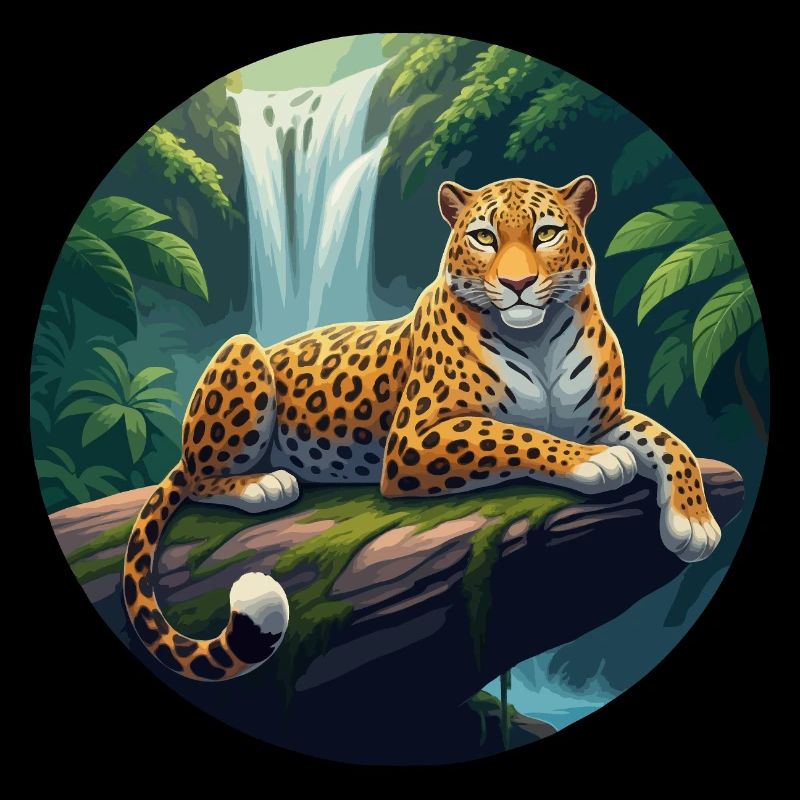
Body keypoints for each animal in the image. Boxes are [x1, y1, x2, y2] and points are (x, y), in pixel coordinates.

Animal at [123, 174, 721, 681]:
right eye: (483, 237)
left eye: (546, 233)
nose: (519, 283)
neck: (539, 339)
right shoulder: (416, 437)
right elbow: (515, 435)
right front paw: (593, 462)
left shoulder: (606, 419)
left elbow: (670, 441)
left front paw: (694, 522)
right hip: (242, 352)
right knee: (202, 477)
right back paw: (263, 483)